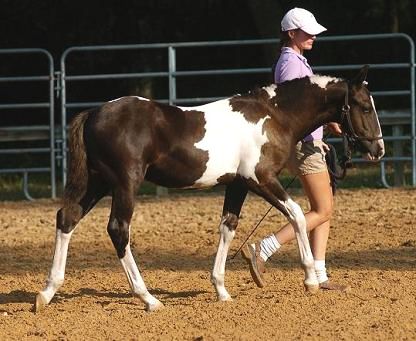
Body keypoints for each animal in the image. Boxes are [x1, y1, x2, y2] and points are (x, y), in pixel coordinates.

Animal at [35, 64, 384, 310]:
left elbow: (228, 227)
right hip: (124, 184)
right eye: (365, 107)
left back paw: (47, 293)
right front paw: (310, 279)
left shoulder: (238, 184)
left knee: (67, 218)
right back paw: (148, 298)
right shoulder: (261, 179)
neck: (274, 115)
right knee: (118, 229)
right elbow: (297, 214)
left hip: (98, 182)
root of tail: (94, 113)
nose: (378, 149)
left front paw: (221, 290)